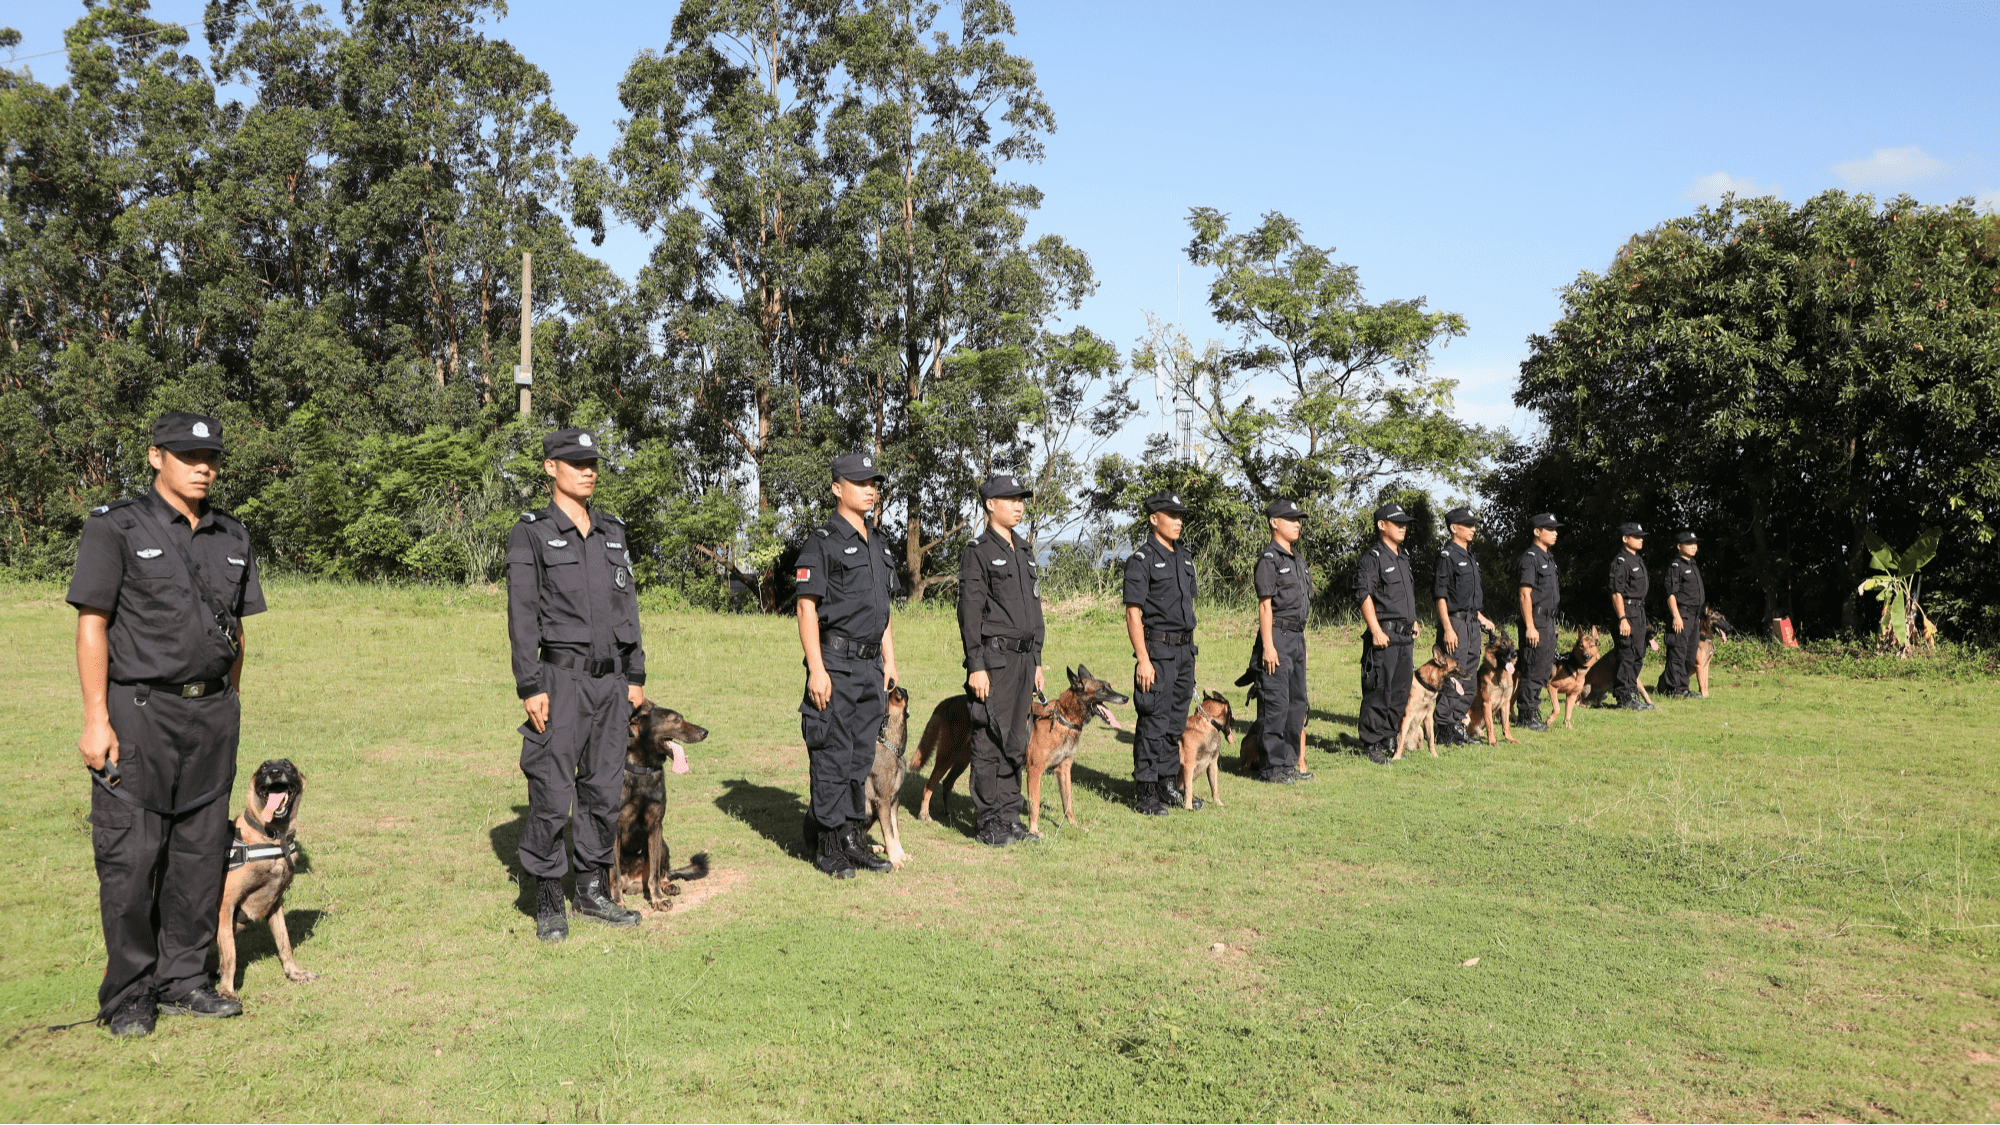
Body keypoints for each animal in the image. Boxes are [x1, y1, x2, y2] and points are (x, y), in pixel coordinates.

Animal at [214, 752, 316, 996]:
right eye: (263, 767)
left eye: (288, 765)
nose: (275, 773)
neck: (273, 837)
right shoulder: (225, 906)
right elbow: (230, 954)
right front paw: (227, 990)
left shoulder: (275, 904)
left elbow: (284, 943)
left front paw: (294, 972)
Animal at [616, 696, 712, 904]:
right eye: (675, 720)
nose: (705, 732)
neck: (643, 770)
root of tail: (632, 881)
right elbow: (613, 872)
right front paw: (616, 902)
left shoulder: (656, 826)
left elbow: (653, 873)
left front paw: (658, 899)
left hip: (662, 844)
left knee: (661, 874)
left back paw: (667, 886)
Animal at [916, 664, 1136, 832]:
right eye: (1102, 690)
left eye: (1110, 686)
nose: (1126, 698)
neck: (1062, 718)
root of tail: (950, 701)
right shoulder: (1035, 771)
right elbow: (1034, 805)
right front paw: (1034, 831)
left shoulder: (1064, 770)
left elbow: (1068, 804)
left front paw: (1074, 826)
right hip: (947, 756)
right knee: (929, 784)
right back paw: (924, 814)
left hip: (964, 759)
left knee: (947, 783)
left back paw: (948, 811)